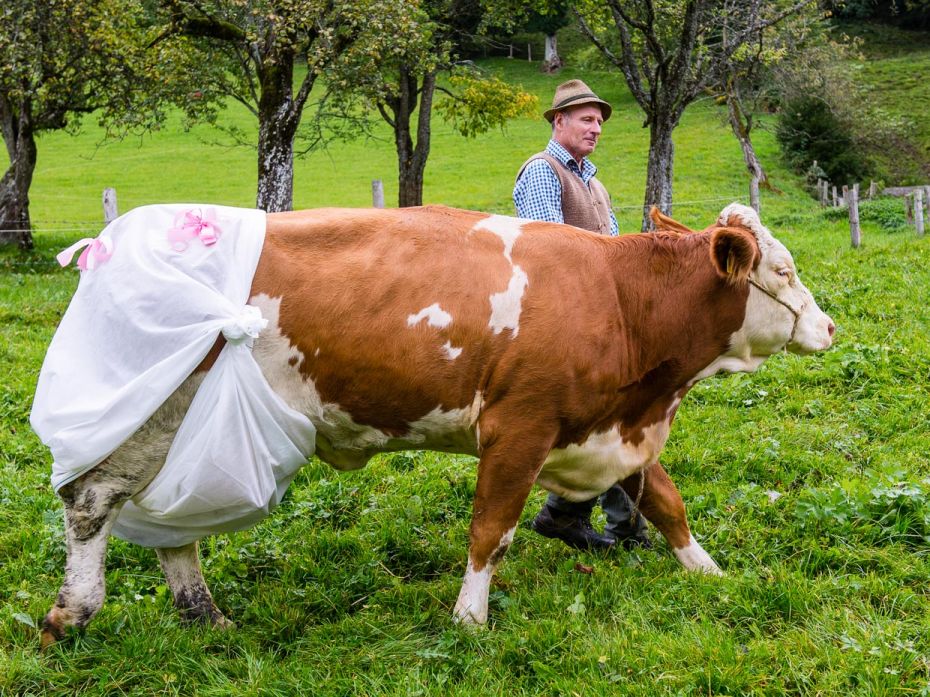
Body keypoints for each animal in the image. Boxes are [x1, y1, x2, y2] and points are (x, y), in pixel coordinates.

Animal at [36, 201, 832, 648]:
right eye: (784, 271)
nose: (827, 325)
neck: (616, 296)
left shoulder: (609, 425)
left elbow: (666, 500)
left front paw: (708, 571)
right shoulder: (520, 425)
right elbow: (491, 529)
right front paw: (470, 619)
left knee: (175, 522)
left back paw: (204, 616)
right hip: (157, 410)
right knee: (92, 501)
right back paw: (73, 612)